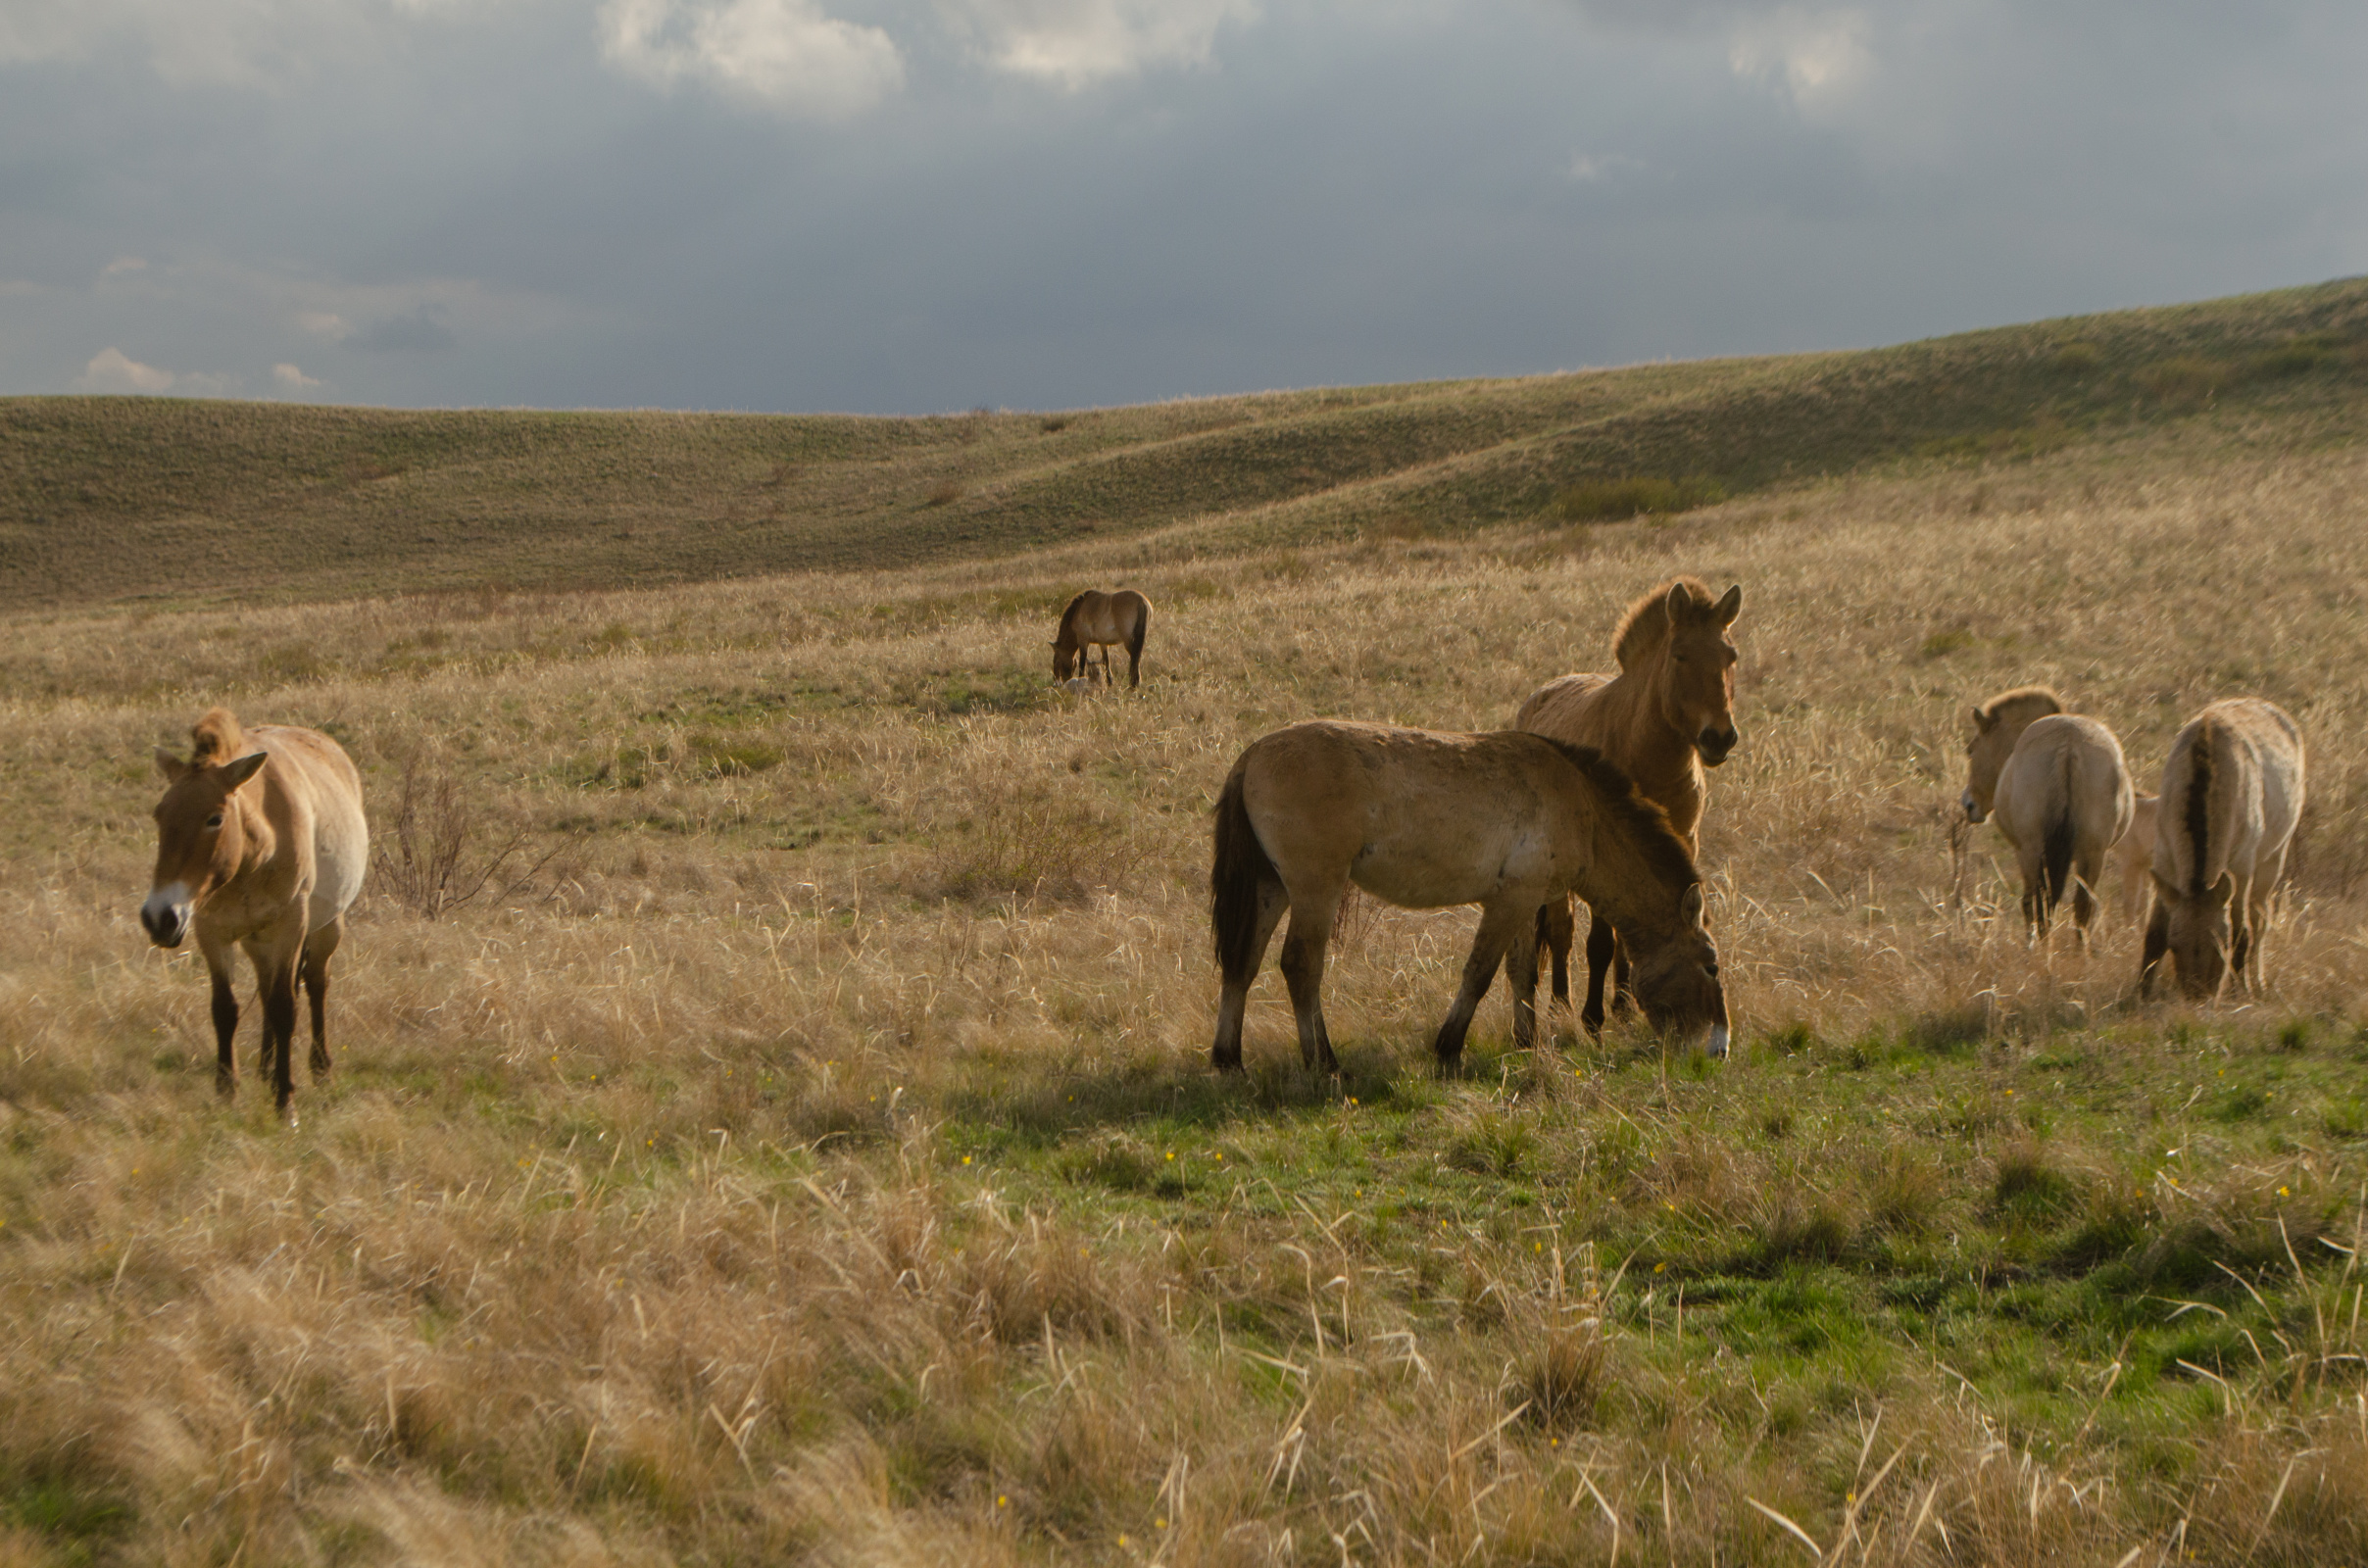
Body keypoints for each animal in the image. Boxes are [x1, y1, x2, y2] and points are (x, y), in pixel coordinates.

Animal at [143, 706, 369, 1122]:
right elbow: (225, 1008)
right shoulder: (211, 931)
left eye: (214, 818)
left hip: (326, 928)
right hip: (256, 940)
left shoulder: (289, 927)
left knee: (315, 984)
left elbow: (284, 1007)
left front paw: (286, 1102)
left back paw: (319, 1069)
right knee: (266, 988)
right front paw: (226, 1091)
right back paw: (265, 1068)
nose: (159, 917)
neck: (256, 853)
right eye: (159, 814)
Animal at [1211, 724, 1733, 1080]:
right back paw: (1324, 1062)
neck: (1582, 804)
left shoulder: (1523, 901)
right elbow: (1479, 974)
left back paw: (1228, 1059)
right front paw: (1449, 1047)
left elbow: (1522, 974)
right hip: (1314, 888)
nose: (1719, 1048)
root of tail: (1252, 757)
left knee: (1243, 965)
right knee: (1301, 966)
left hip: (1271, 888)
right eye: (1711, 966)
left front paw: (1527, 1043)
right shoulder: (1509, 902)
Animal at [1515, 582, 1743, 1037]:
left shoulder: (1680, 843)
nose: (1720, 737)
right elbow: (1600, 942)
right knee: (1561, 930)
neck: (1650, 759)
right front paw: (1592, 1018)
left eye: (1731, 655)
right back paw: (1561, 1005)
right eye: (1680, 655)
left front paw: (1624, 1006)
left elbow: (1630, 934)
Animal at [1950, 686, 2141, 947]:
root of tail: (2068, 745)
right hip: (2092, 855)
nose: (1968, 804)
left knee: (2037, 903)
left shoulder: (2023, 851)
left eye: (1971, 750)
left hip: (2032, 851)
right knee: (2081, 908)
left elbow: (2031, 902)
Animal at [2141, 701, 2301, 999]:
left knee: (2260, 919)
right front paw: (2140, 992)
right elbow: (2153, 932)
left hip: (2273, 860)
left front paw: (2242, 990)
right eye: (2174, 945)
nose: (2196, 996)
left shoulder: (2241, 866)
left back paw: (2258, 980)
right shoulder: (2164, 856)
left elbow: (2242, 931)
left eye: (2220, 946)